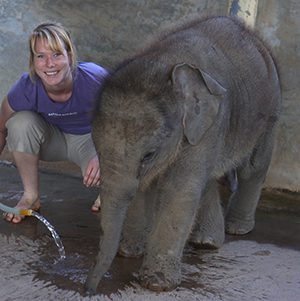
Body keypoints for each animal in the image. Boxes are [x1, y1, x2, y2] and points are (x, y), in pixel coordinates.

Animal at [85, 15, 282, 292]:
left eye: (148, 155)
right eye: (98, 150)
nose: (88, 290)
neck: (163, 62)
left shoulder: (211, 121)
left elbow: (178, 188)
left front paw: (158, 284)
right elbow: (146, 185)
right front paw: (131, 252)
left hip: (270, 108)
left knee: (252, 167)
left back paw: (236, 230)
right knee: (208, 178)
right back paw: (206, 241)